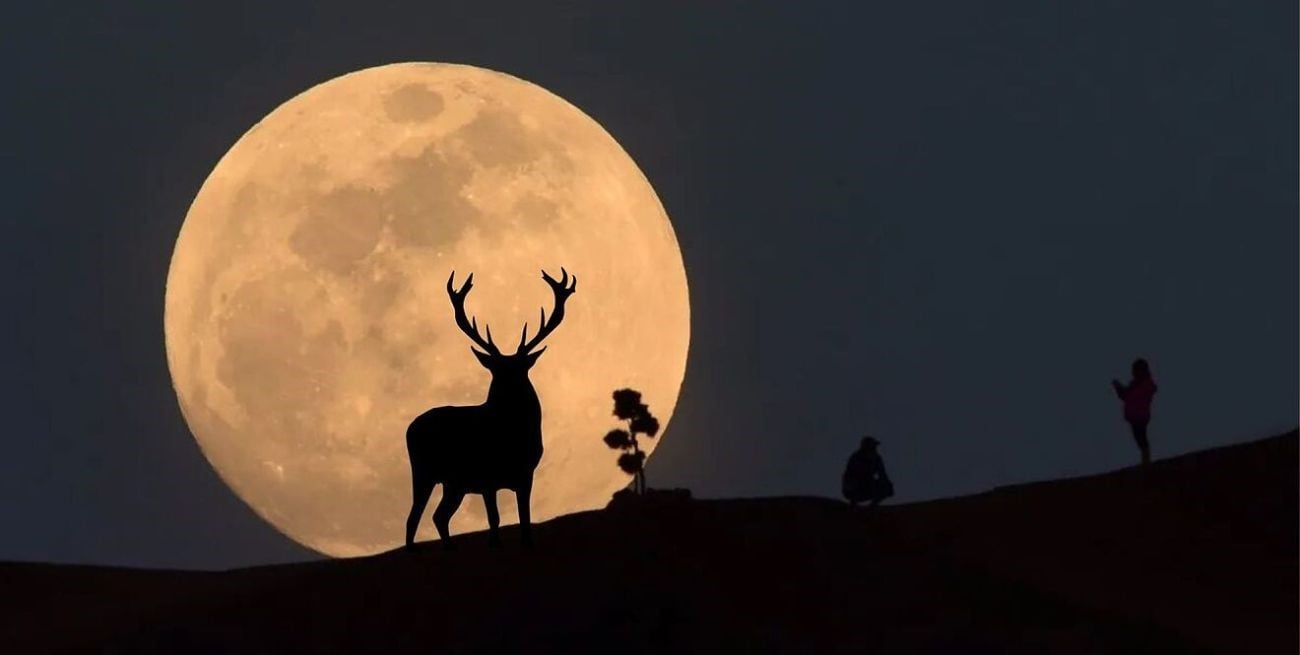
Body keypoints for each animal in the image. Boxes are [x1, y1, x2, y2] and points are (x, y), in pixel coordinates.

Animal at [404, 268, 576, 550]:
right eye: (496, 373)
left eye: (520, 370)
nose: (505, 394)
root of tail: (409, 428)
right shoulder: (487, 478)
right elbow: (494, 521)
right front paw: (495, 546)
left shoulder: (526, 474)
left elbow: (525, 520)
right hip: (423, 473)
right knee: (413, 519)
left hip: (454, 483)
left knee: (439, 516)